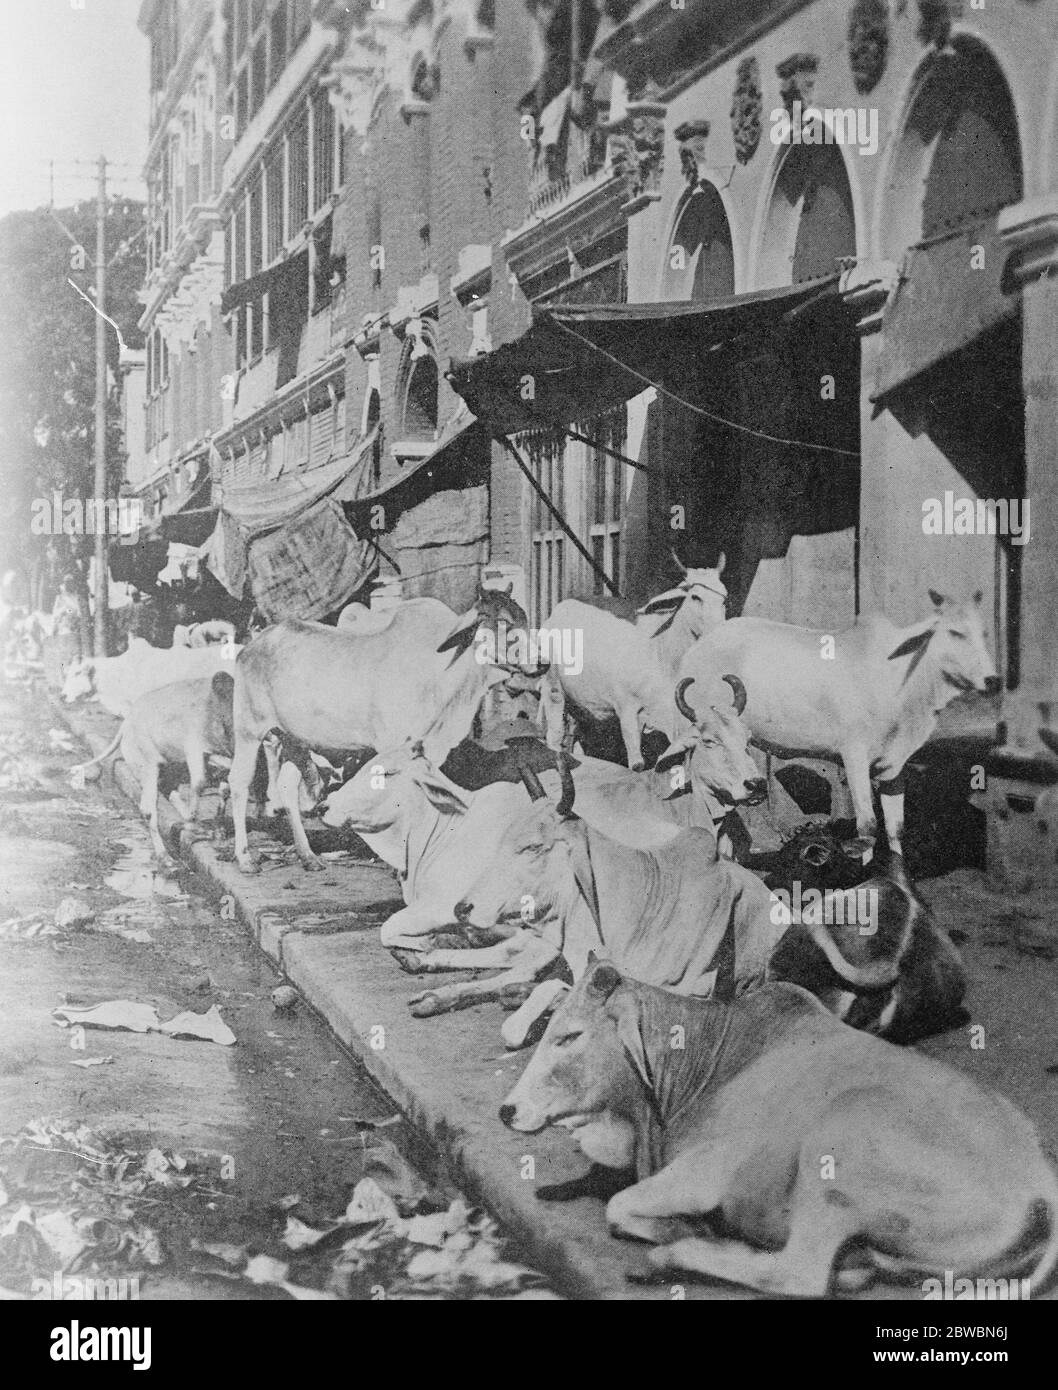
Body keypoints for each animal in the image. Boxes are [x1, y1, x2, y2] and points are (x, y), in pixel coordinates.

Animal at [230, 583, 544, 867]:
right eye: (502, 621)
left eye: (525, 618)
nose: (542, 663)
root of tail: (252, 646)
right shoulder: (391, 745)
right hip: (248, 730)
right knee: (238, 782)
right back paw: (245, 859)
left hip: (296, 739)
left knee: (286, 786)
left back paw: (308, 856)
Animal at [500, 961, 1056, 1295]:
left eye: (569, 1036)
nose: (507, 1110)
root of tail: (1039, 1179)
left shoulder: (706, 1171)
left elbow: (617, 1205)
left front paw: (686, 1228)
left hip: (840, 1144)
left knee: (798, 1275)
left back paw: (676, 1254)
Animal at [544, 556, 728, 772]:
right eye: (696, 597)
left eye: (724, 598)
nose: (720, 634)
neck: (660, 651)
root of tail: (560, 608)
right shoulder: (627, 710)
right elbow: (637, 764)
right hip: (553, 688)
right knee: (554, 736)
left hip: (581, 703)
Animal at [675, 592, 1000, 861]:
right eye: (955, 632)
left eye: (985, 633)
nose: (993, 680)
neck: (899, 677)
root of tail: (697, 647)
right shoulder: (854, 756)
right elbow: (867, 827)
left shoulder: (895, 765)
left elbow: (895, 829)